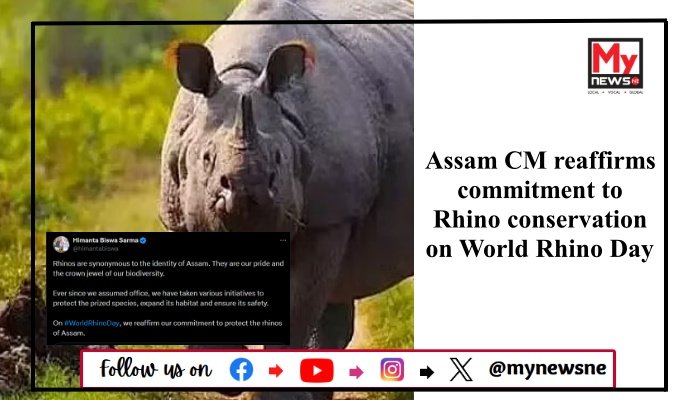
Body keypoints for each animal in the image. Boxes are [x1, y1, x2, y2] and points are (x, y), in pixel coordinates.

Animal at [159, 1, 413, 398]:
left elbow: (299, 304)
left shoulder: (328, 217)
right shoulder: (180, 215)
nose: (248, 196)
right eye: (206, 159)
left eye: (279, 160)